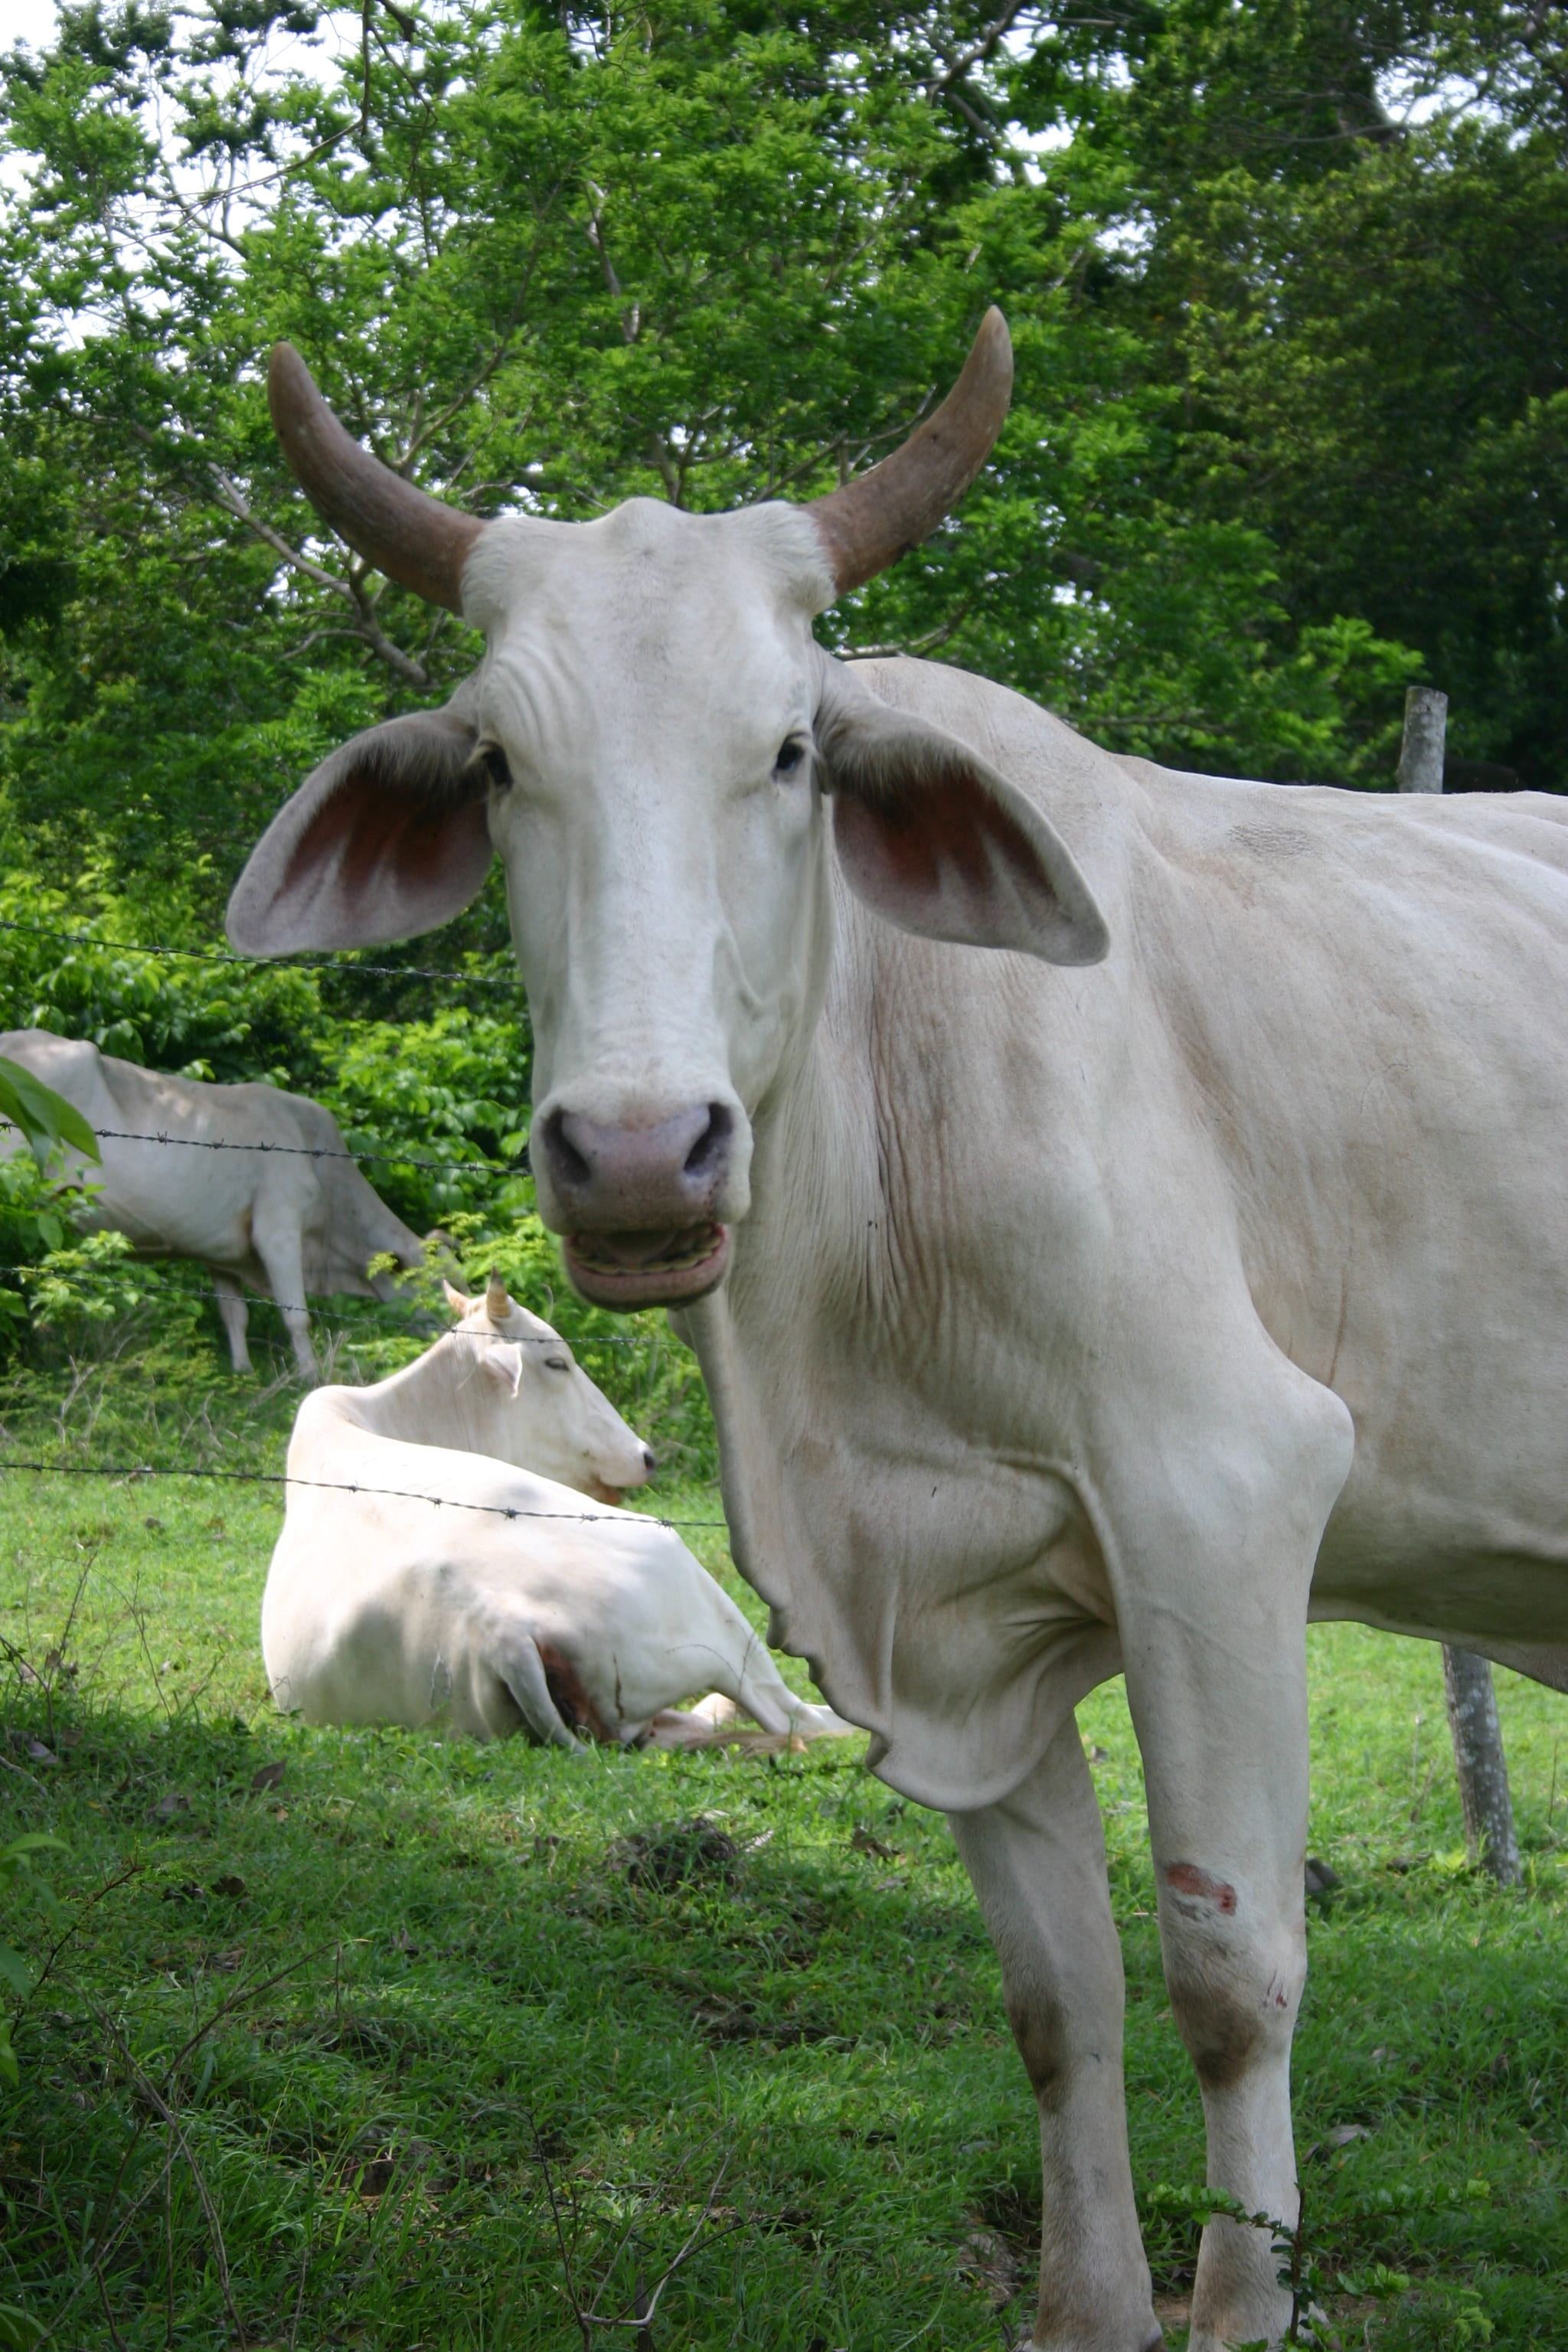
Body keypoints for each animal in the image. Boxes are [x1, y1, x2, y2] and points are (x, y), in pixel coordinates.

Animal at [0, 1028, 426, 1380]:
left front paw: (242, 1371)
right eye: (434, 1285)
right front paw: (310, 1376)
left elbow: (235, 1315)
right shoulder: (279, 1229)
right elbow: (297, 1316)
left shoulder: (222, 1249)